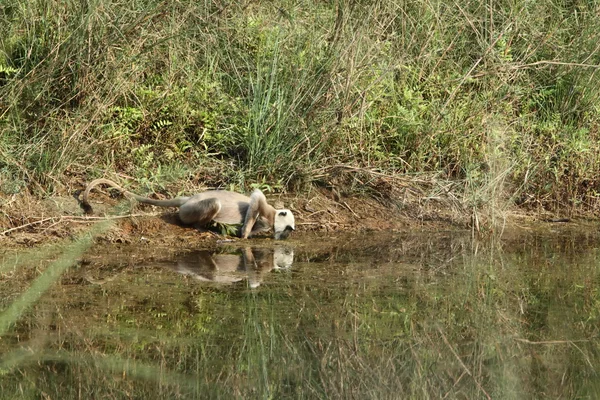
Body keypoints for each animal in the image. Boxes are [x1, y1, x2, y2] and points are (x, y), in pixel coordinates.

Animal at [79, 180, 296, 239]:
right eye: (288, 229)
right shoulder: (266, 209)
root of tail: (189, 199)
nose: (286, 236)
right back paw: (203, 227)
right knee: (214, 202)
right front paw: (244, 235)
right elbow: (257, 197)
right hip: (191, 210)